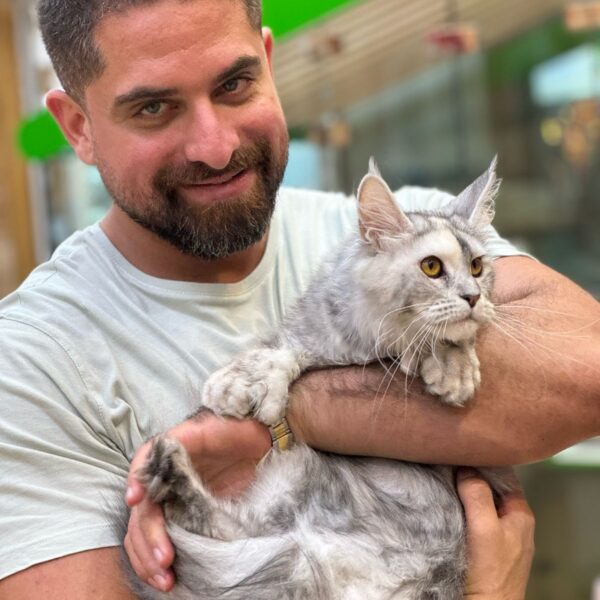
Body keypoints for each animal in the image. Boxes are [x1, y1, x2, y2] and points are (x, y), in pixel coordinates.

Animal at [127, 158, 506, 600]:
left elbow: (448, 336)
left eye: (477, 268)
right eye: (432, 267)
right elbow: (283, 352)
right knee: (229, 526)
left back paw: (170, 474)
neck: (374, 346)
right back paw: (168, 471)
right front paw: (237, 384)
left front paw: (452, 367)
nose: (472, 297)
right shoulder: (312, 335)